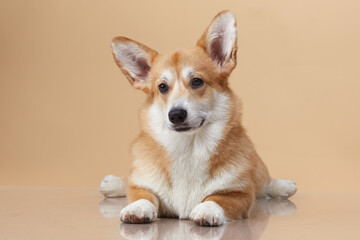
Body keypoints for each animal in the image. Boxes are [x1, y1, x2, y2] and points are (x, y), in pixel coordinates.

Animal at [100, 9, 296, 227]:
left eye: (196, 81)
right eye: (162, 87)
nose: (176, 115)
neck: (188, 146)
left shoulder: (239, 192)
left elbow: (217, 198)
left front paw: (207, 209)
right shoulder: (143, 184)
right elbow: (141, 193)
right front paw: (137, 207)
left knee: (264, 182)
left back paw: (283, 186)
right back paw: (113, 184)